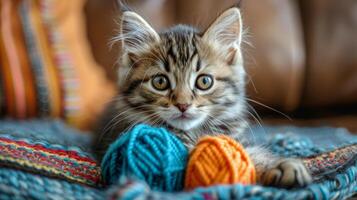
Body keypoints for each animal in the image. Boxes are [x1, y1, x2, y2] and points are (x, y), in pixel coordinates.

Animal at [93, 7, 310, 188]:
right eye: (160, 82)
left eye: (204, 82)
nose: (183, 105)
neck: (193, 133)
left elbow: (241, 151)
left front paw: (279, 165)